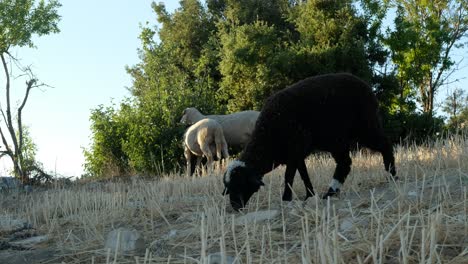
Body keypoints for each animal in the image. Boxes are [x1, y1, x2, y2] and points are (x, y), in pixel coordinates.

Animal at [222, 71, 394, 210]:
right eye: (228, 187)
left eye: (241, 184)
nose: (235, 207)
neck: (268, 139)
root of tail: (366, 86)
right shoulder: (296, 154)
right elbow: (303, 174)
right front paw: (309, 195)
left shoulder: (295, 150)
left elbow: (288, 176)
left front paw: (286, 199)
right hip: (336, 139)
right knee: (345, 163)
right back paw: (330, 193)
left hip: (365, 126)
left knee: (385, 144)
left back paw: (391, 175)